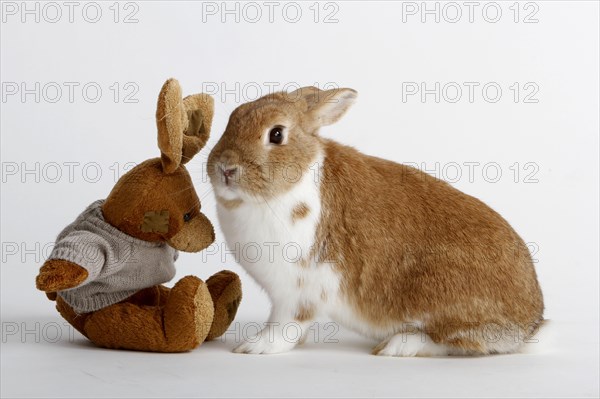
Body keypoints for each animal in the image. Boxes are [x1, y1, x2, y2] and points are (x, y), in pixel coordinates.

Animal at [207, 86, 544, 356]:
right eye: (232, 119)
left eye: (276, 134)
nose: (226, 168)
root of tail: (530, 324)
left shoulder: (297, 293)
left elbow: (285, 325)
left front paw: (254, 347)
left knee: (454, 341)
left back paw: (398, 346)